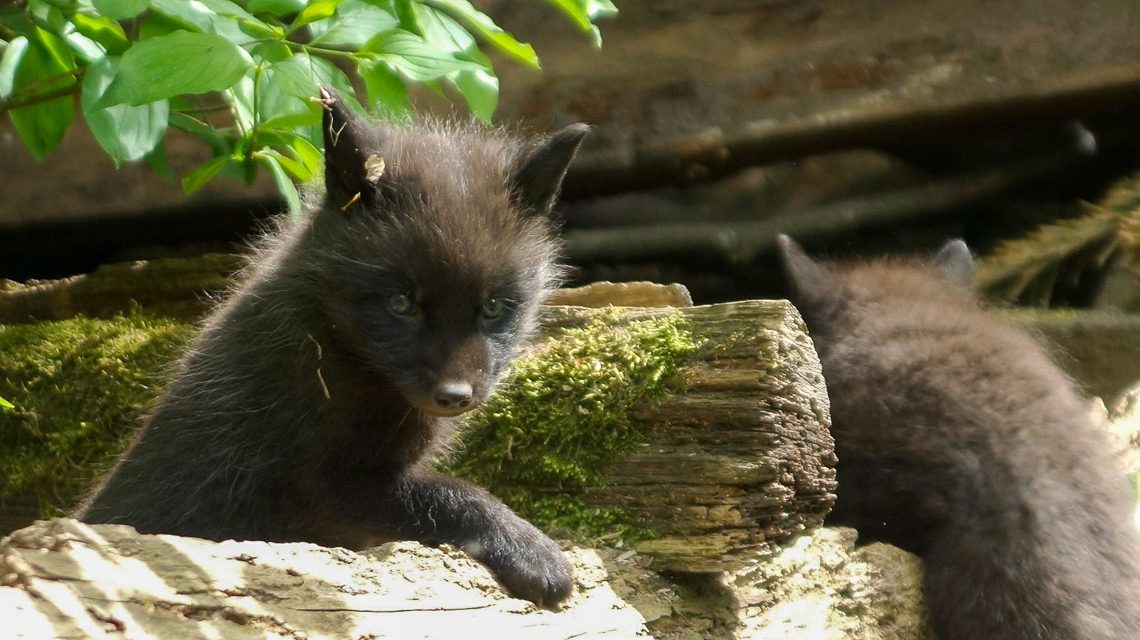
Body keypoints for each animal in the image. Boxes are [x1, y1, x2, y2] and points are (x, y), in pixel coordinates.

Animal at [76, 88, 589, 607]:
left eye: (493, 308)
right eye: (401, 303)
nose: (455, 397)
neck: (336, 349)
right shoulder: (326, 487)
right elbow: (453, 493)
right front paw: (531, 551)